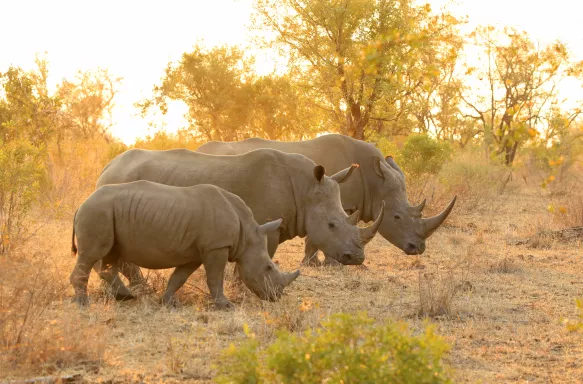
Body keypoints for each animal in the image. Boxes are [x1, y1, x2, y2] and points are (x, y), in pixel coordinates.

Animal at [69, 180, 302, 308]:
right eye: (268, 267)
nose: (277, 296)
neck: (247, 234)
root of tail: (81, 204)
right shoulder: (216, 246)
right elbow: (215, 277)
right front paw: (225, 306)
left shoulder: (196, 252)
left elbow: (179, 277)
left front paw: (167, 302)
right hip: (98, 211)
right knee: (92, 254)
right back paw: (83, 304)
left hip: (106, 213)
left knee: (111, 255)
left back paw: (125, 297)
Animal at [94, 148, 388, 292]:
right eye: (332, 225)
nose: (357, 258)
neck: (305, 189)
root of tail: (106, 167)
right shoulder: (265, 226)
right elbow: (261, 256)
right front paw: (244, 288)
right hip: (119, 183)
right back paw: (136, 289)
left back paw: (138, 288)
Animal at [198, 133, 458, 264]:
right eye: (396, 217)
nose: (418, 249)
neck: (375, 181)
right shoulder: (337, 201)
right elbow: (325, 234)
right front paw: (326, 264)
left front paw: (314, 263)